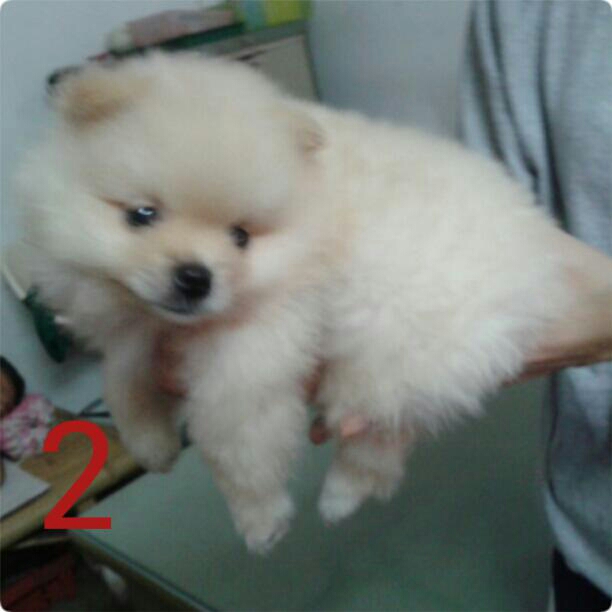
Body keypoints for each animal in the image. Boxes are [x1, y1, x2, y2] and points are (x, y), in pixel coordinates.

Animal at [18, 53, 572, 552]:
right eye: (141, 215)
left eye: (241, 236)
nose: (194, 277)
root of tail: (536, 243)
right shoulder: (137, 328)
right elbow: (122, 379)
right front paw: (152, 444)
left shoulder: (253, 350)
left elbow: (238, 441)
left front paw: (260, 518)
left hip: (399, 339)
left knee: (378, 432)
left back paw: (341, 496)